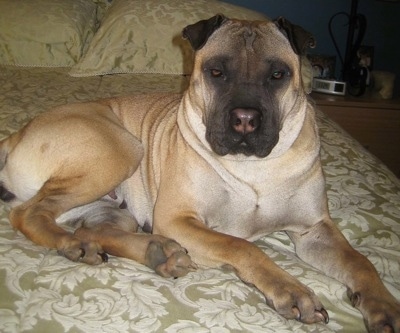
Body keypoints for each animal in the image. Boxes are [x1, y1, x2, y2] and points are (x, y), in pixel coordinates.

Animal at [0, 14, 398, 330]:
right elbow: (242, 246)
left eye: (278, 74)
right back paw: (73, 245)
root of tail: (17, 133)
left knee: (97, 229)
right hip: (120, 149)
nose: (245, 119)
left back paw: (157, 253)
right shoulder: (178, 219)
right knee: (28, 214)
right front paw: (291, 290)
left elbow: (361, 262)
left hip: (113, 206)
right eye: (216, 72)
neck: (254, 167)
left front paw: (384, 307)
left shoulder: (314, 230)